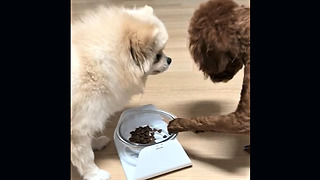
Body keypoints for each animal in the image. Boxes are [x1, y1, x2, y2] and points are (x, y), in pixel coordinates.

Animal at [71, 4, 171, 179]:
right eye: (157, 56)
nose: (170, 60)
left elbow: (88, 141)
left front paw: (95, 143)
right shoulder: (78, 127)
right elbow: (85, 155)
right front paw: (95, 174)